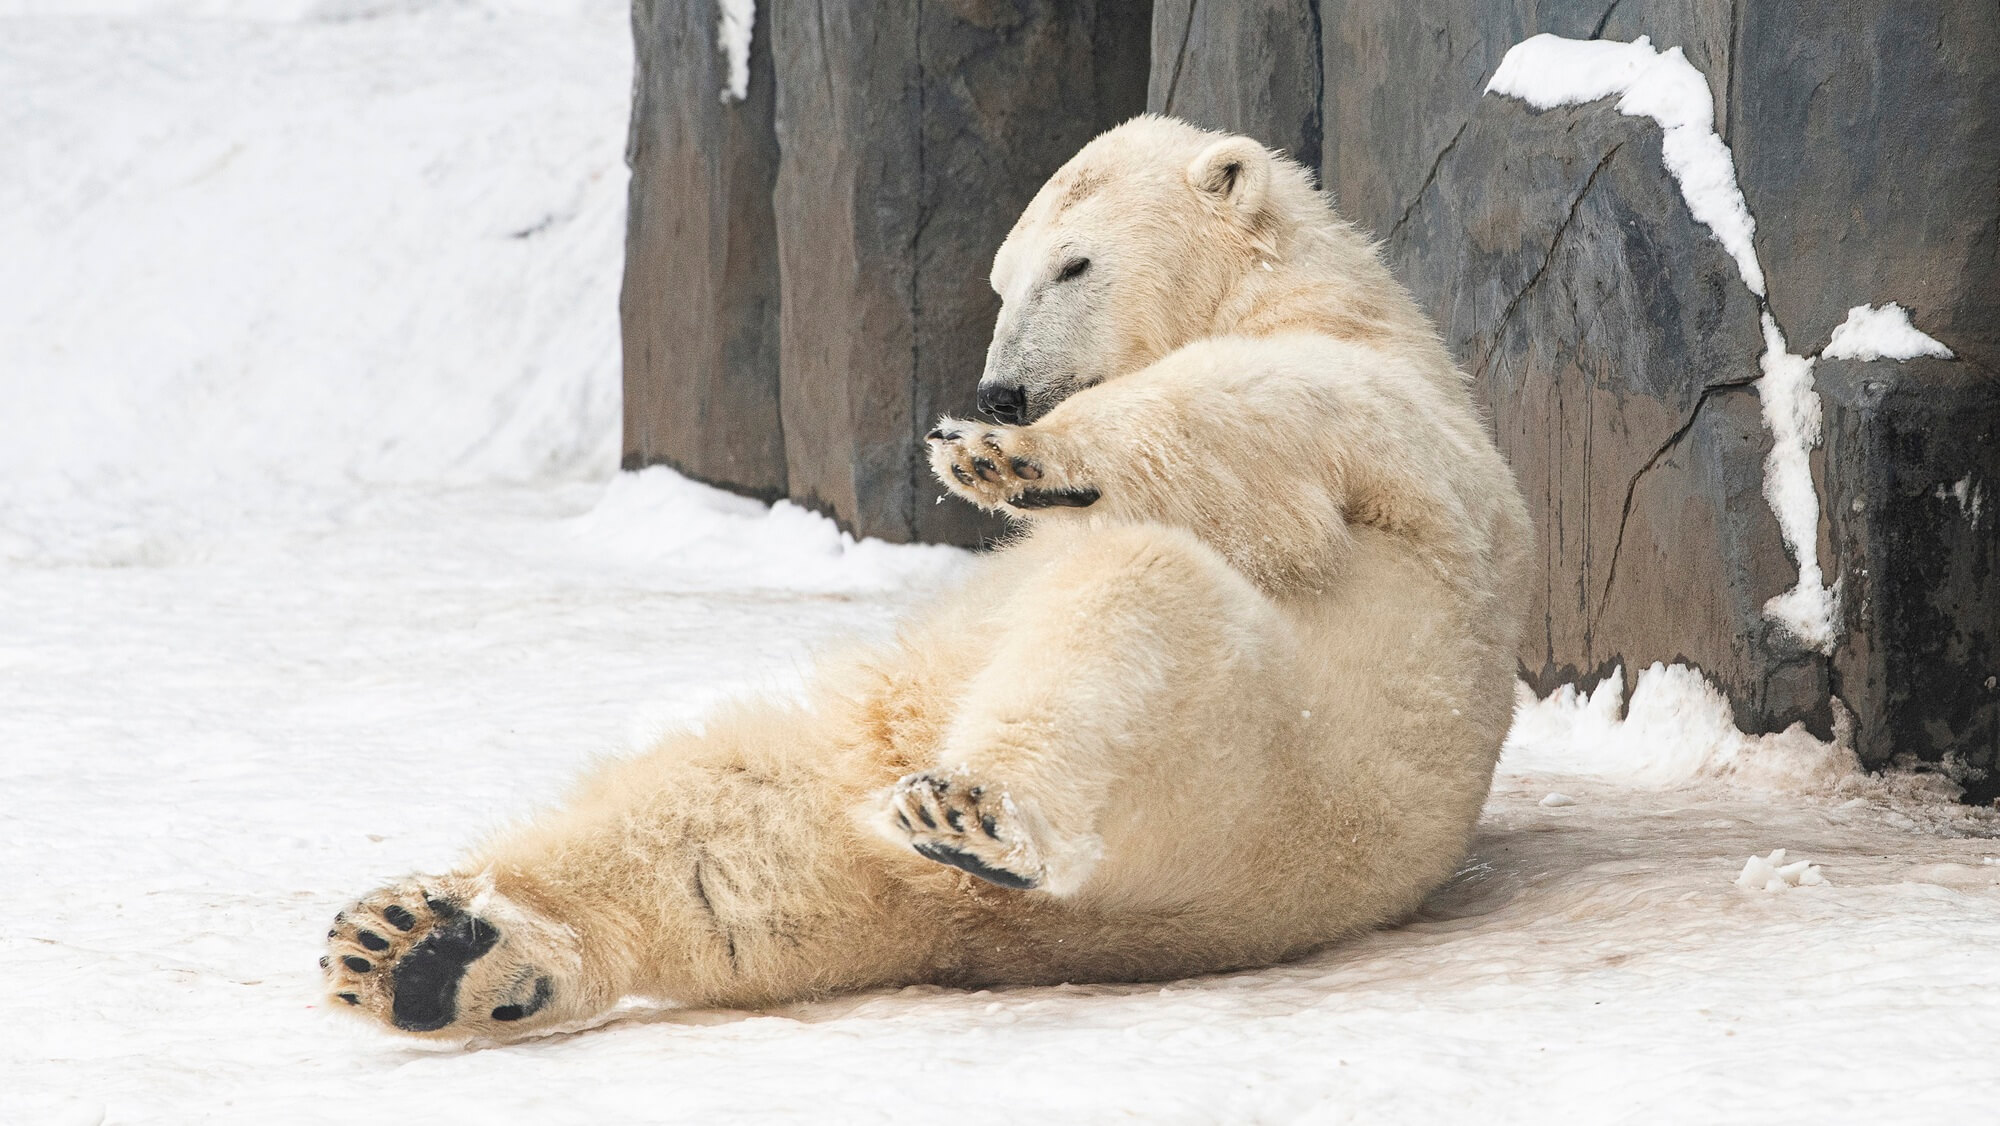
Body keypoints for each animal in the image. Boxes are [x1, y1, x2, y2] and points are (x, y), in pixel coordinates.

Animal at [322, 115, 1533, 1041]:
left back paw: (972, 810)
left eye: (1076, 263)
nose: (1001, 392)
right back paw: (418, 948)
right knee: (717, 827)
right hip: (881, 760)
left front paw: (1007, 458)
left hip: (1253, 779)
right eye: (1002, 279)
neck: (1303, 288)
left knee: (1136, 611)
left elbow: (1248, 421)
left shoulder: (1388, 416)